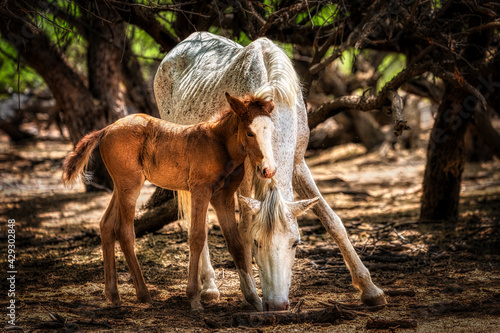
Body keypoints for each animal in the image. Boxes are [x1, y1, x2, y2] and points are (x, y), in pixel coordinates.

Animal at [61, 92, 278, 310]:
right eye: (250, 133)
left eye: (271, 131)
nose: (268, 170)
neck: (221, 145)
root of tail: (106, 129)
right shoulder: (200, 191)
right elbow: (197, 237)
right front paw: (194, 298)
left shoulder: (223, 198)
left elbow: (236, 243)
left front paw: (254, 299)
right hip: (130, 185)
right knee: (124, 230)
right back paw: (143, 294)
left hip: (120, 185)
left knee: (106, 224)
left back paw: (113, 295)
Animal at [154, 32, 384, 310]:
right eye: (257, 243)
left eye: (296, 243)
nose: (276, 305)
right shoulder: (243, 175)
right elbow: (242, 230)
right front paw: (251, 294)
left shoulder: (298, 163)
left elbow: (332, 221)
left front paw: (370, 289)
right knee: (196, 222)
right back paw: (209, 287)